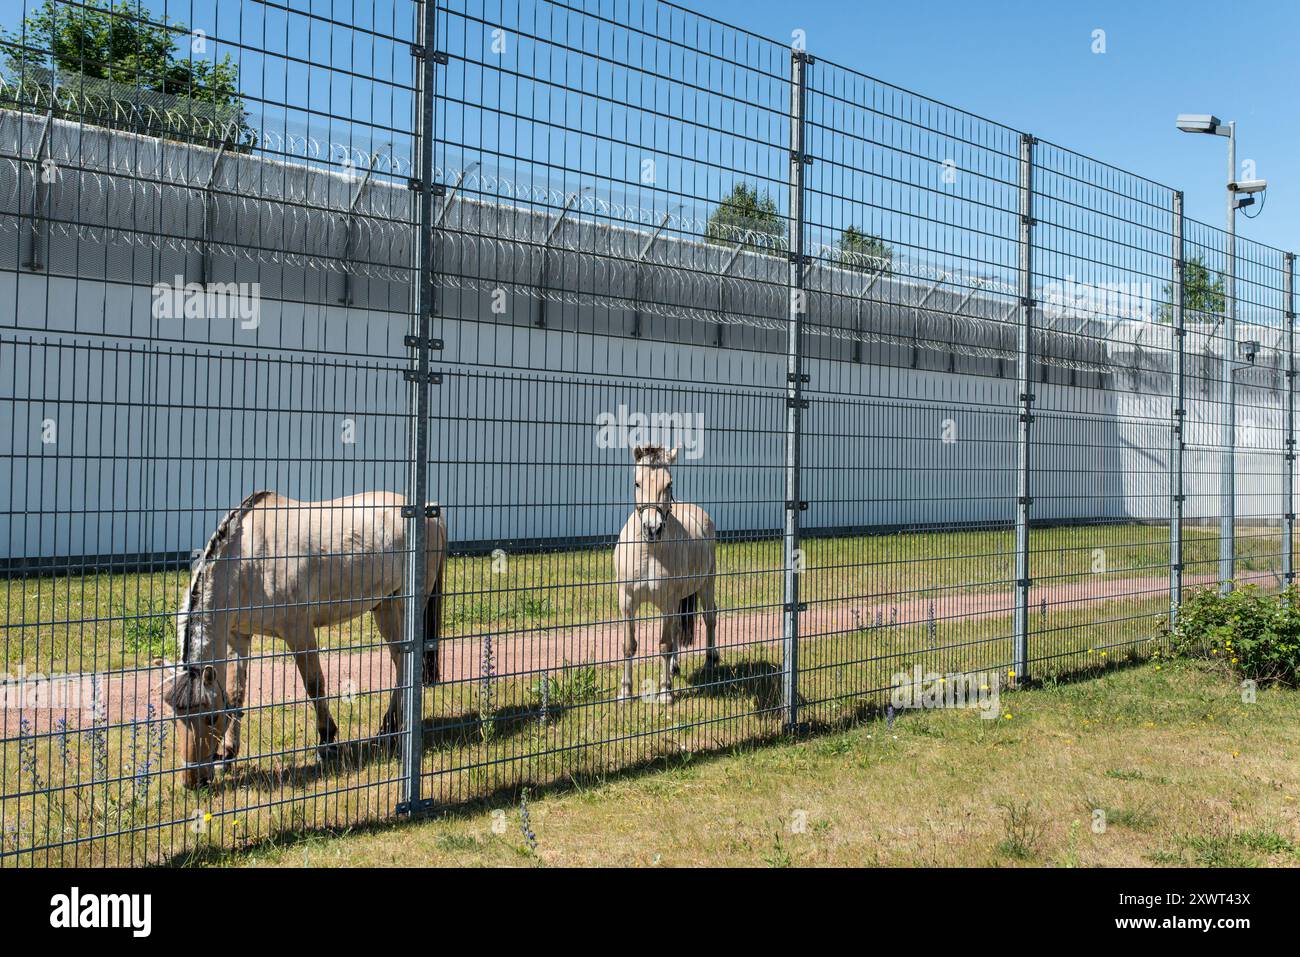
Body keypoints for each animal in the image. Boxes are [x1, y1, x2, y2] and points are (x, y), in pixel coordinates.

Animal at [160, 488, 447, 790]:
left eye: (210, 717)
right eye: (175, 718)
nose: (193, 780)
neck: (249, 560)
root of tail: (429, 511)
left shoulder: (298, 631)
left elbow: (314, 685)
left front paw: (327, 741)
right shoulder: (239, 638)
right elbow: (237, 693)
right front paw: (228, 754)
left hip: (406, 605)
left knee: (405, 662)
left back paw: (395, 730)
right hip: (385, 606)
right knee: (400, 659)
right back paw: (389, 729)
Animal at [611, 442, 717, 702]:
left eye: (669, 483)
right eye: (637, 483)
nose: (652, 529)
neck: (649, 552)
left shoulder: (667, 602)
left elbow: (664, 645)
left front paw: (665, 692)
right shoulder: (627, 601)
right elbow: (628, 645)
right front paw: (625, 692)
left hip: (707, 584)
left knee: (710, 617)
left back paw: (710, 662)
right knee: (679, 626)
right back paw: (675, 667)